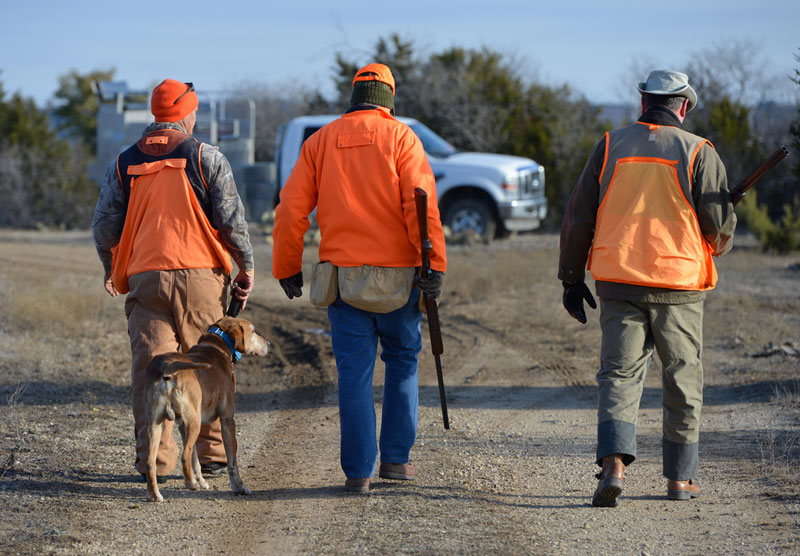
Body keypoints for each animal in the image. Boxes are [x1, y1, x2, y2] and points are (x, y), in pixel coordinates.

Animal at [143, 318, 268, 504]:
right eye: (253, 331)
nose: (268, 344)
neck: (217, 345)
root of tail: (167, 367)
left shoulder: (182, 425)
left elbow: (196, 458)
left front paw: (200, 481)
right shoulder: (227, 419)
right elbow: (232, 461)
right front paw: (239, 486)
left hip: (155, 424)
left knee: (151, 461)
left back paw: (155, 493)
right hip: (194, 422)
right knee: (184, 456)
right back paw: (189, 484)